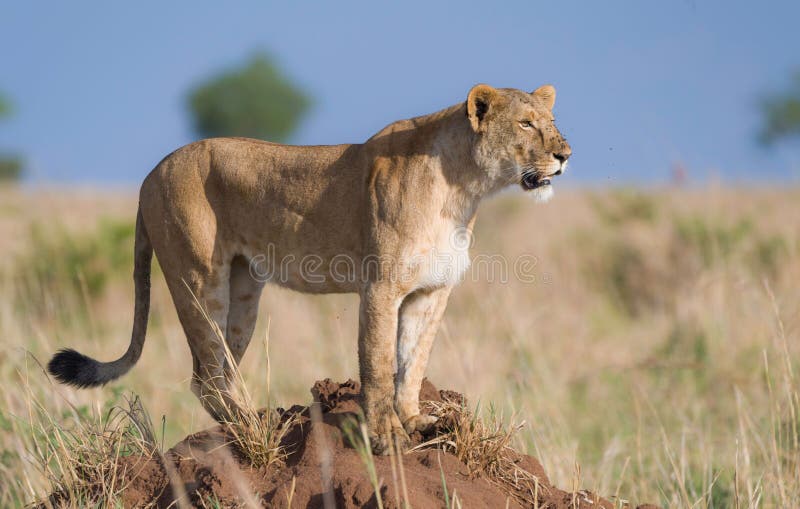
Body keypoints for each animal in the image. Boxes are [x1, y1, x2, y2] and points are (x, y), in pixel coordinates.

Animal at [48, 84, 571, 453]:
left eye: (551, 121)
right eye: (526, 124)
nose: (565, 155)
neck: (464, 189)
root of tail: (149, 175)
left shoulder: (431, 291)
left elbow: (413, 361)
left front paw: (416, 421)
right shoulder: (380, 286)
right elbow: (379, 363)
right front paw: (386, 437)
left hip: (243, 291)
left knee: (215, 370)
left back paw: (255, 421)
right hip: (198, 277)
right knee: (207, 372)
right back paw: (255, 428)